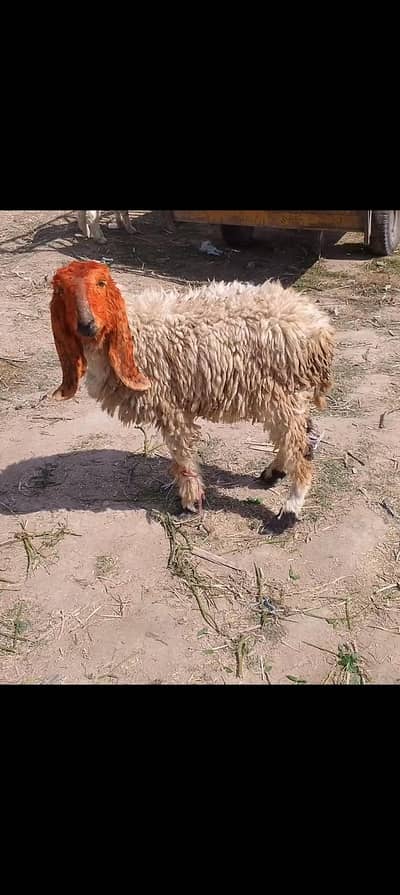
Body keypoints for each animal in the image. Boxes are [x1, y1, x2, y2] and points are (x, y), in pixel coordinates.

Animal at [50, 260, 334, 533]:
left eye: (101, 283)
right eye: (60, 290)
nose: (87, 325)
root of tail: (318, 326)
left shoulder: (170, 405)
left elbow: (182, 455)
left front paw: (190, 503)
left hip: (281, 394)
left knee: (299, 449)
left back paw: (287, 513)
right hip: (288, 395)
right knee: (302, 435)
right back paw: (274, 473)